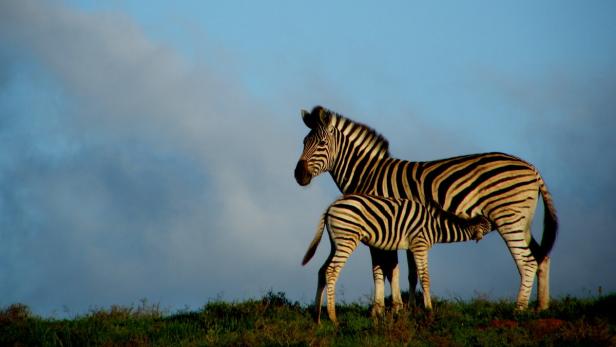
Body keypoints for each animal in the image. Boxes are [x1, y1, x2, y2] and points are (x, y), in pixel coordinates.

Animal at [294, 106, 560, 312]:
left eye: (321, 143)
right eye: (303, 142)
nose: (299, 175)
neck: (368, 174)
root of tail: (532, 168)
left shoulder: (382, 225)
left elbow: (384, 269)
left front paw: (385, 309)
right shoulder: (398, 229)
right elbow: (406, 272)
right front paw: (407, 307)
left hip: (508, 219)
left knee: (527, 261)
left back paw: (519, 309)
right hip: (523, 221)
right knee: (542, 256)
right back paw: (541, 307)